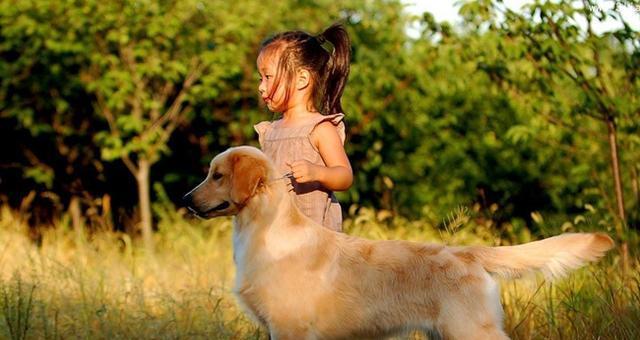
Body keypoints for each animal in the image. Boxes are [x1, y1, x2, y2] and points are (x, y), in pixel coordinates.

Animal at [184, 146, 616, 340]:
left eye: (217, 175)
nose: (186, 199)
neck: (262, 230)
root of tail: (466, 253)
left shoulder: (290, 328)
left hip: (471, 331)